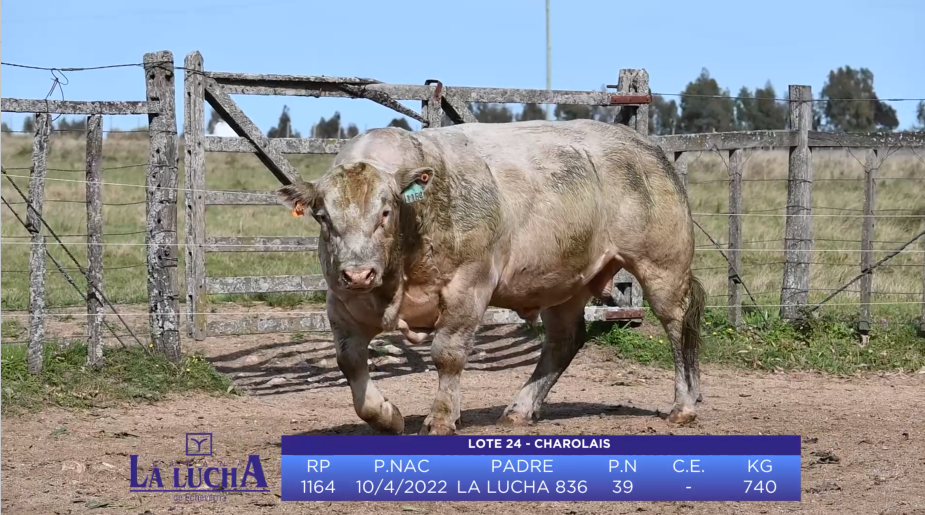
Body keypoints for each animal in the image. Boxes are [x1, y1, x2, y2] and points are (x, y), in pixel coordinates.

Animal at [278, 120, 704, 436]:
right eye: (323, 217)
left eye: (385, 212)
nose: (358, 273)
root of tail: (644, 145)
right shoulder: (342, 303)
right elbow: (349, 361)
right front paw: (387, 416)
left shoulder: (469, 286)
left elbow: (447, 354)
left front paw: (441, 418)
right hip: (564, 282)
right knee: (564, 340)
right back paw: (520, 408)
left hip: (662, 264)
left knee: (677, 325)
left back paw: (683, 406)